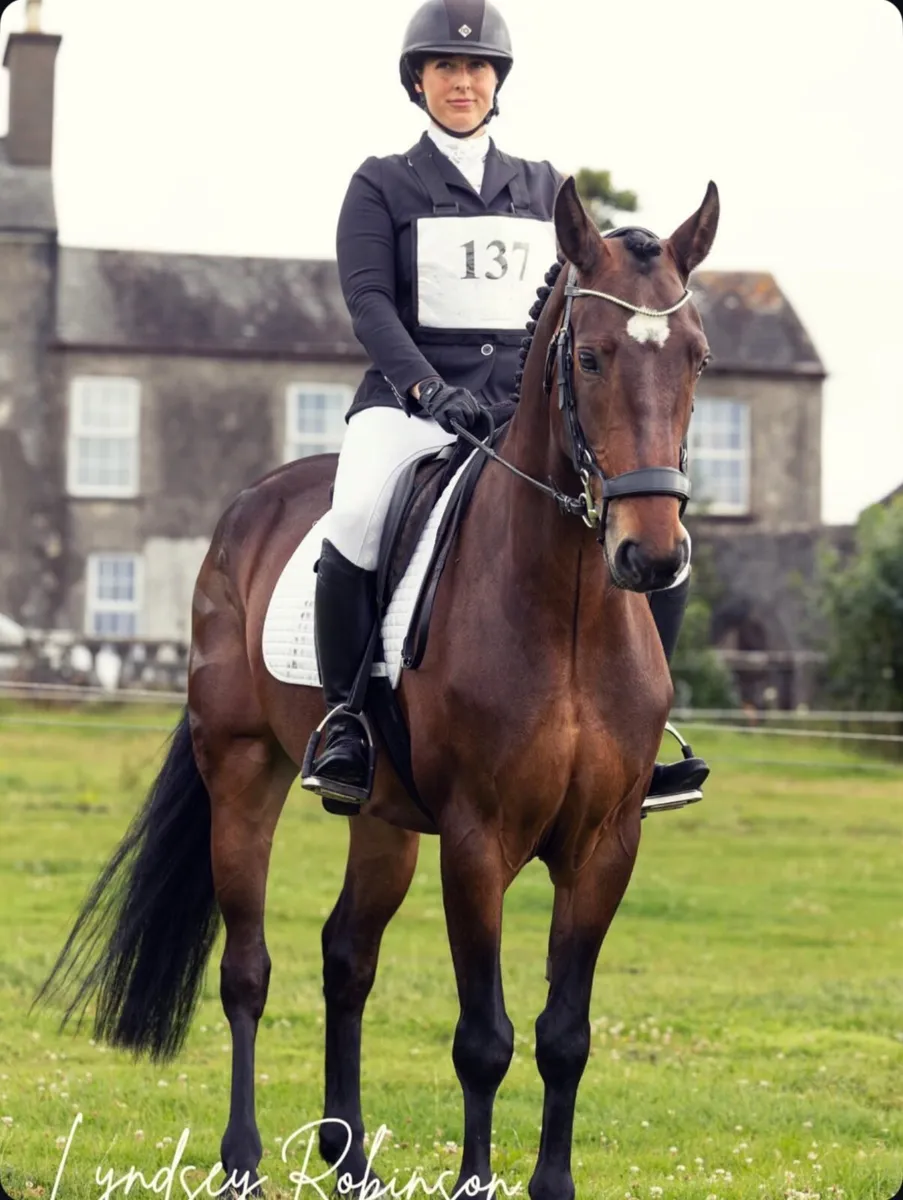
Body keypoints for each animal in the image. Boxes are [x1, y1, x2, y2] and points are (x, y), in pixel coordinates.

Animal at [37, 176, 719, 1200]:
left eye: (697, 360)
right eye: (590, 356)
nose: (650, 555)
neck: (562, 609)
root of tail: (252, 504)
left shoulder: (605, 845)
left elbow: (564, 1037)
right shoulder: (476, 843)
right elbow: (484, 1040)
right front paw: (475, 1182)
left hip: (386, 821)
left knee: (345, 956)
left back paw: (349, 1156)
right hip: (242, 773)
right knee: (247, 969)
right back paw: (243, 1160)